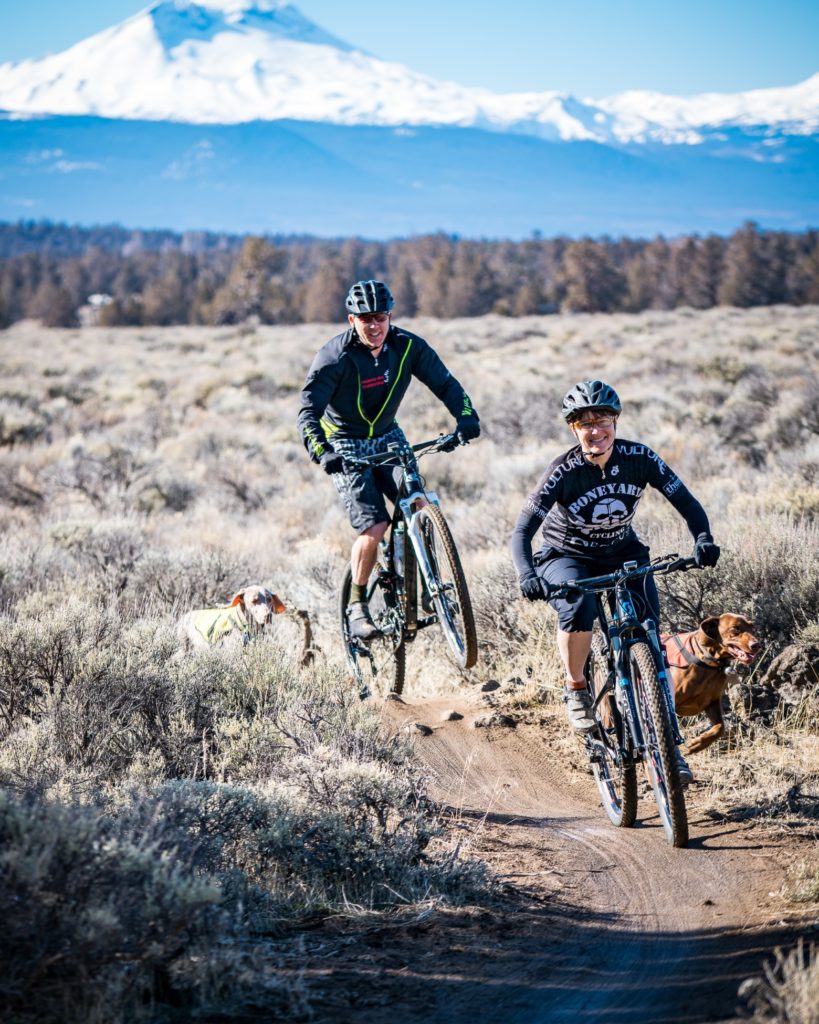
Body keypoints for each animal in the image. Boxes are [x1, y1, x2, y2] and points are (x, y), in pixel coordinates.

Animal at [663, 614, 761, 753]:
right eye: (735, 629)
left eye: (752, 628)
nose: (757, 645)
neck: (710, 662)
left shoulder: (712, 703)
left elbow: (720, 728)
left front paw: (697, 744)